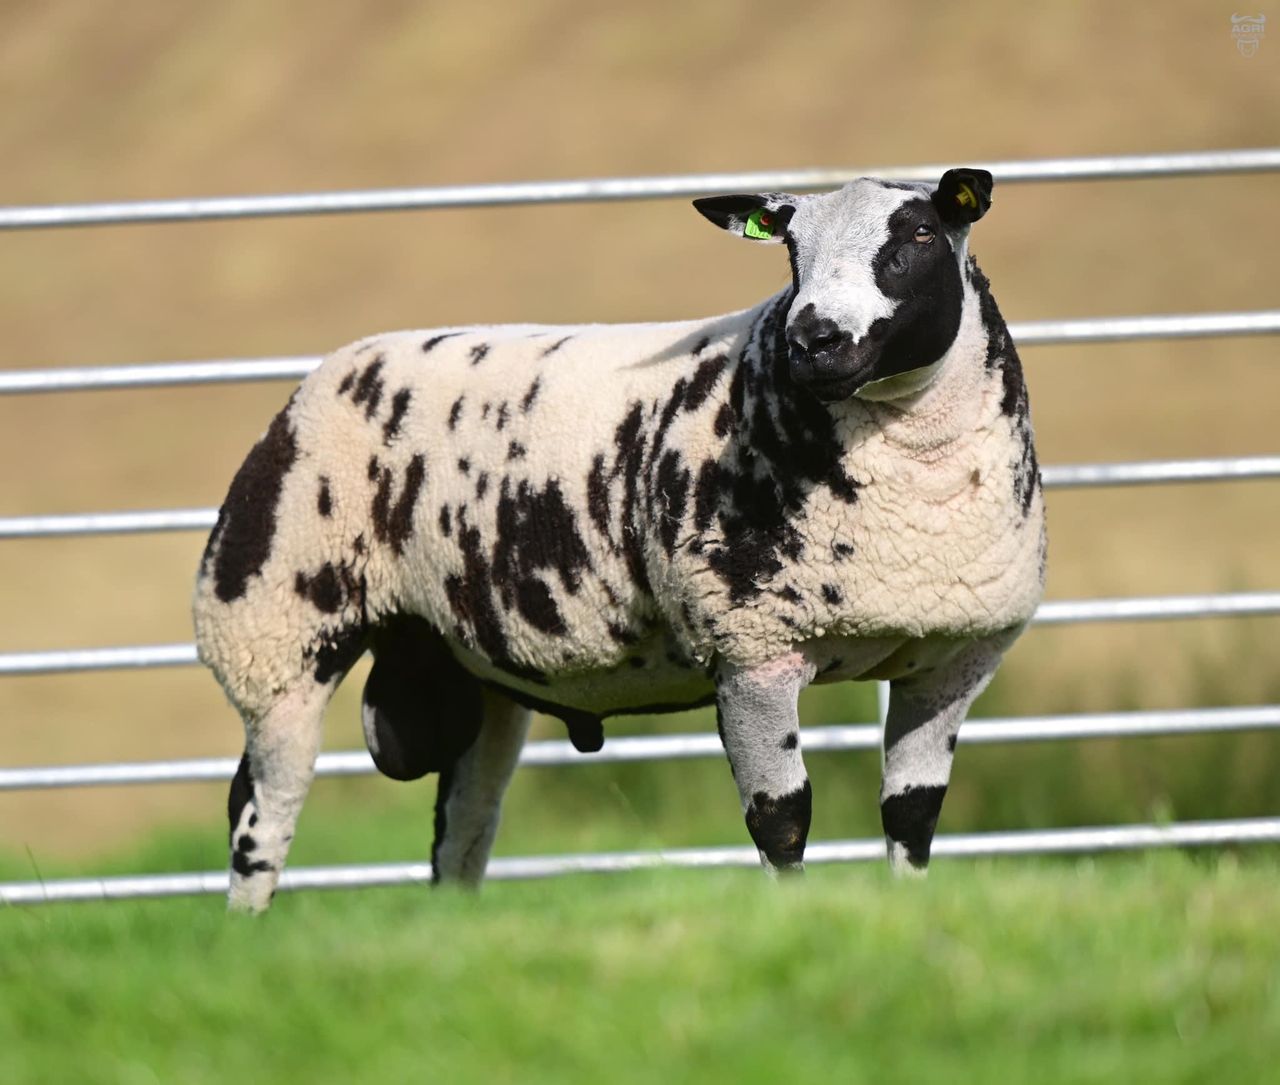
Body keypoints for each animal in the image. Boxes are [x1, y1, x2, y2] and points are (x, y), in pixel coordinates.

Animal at [193, 167, 1046, 912]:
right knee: (260, 812)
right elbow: (781, 818)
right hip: (272, 632)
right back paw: (248, 934)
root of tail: (321, 379)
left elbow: (912, 814)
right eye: (790, 251)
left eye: (920, 234)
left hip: (472, 675)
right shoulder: (751, 651)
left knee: (462, 825)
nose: (814, 340)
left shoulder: (954, 659)